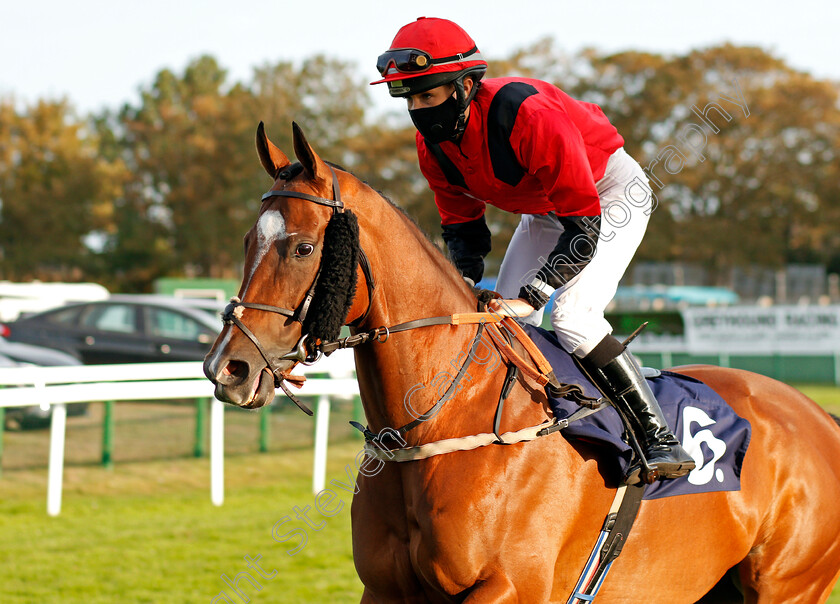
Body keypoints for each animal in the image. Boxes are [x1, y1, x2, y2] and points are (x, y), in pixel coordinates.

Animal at [202, 120, 840, 600]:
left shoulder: (510, 586)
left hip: (788, 584)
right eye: (247, 241)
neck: (444, 419)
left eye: (303, 247)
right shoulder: (385, 590)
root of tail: (818, 415)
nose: (227, 368)